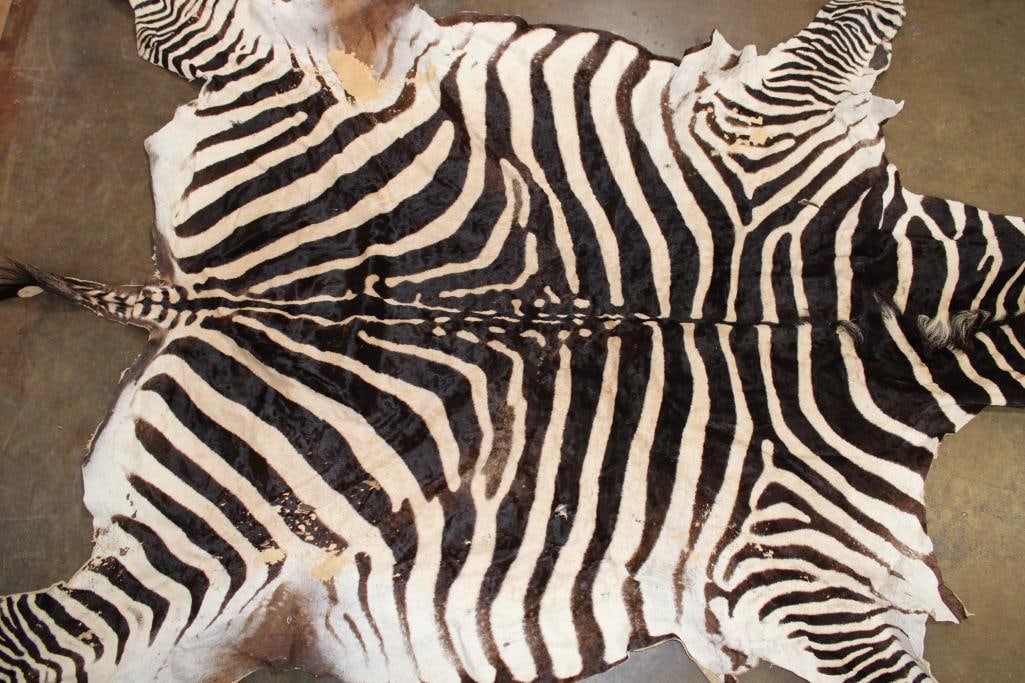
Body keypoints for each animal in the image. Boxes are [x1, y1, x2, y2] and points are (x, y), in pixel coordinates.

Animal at [1, 0, 1024, 680]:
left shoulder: (805, 572)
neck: (885, 320)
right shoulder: (773, 130)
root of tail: (201, 295)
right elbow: (856, 22)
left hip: (205, 559)